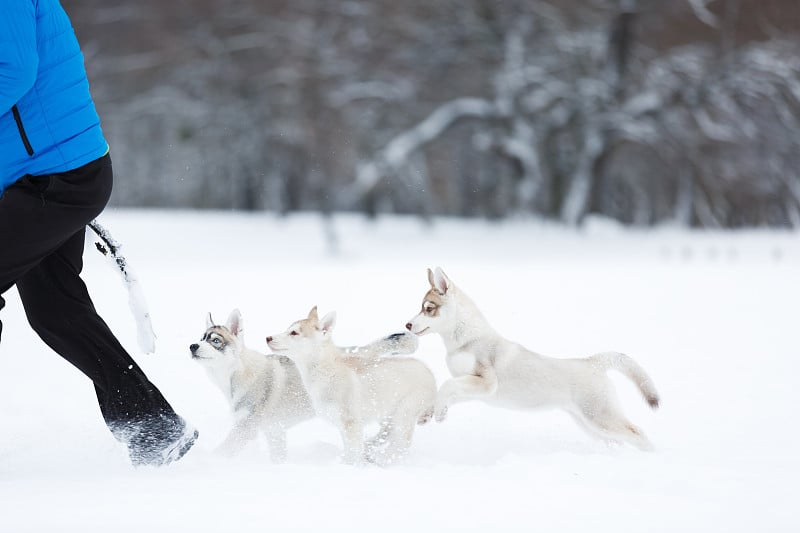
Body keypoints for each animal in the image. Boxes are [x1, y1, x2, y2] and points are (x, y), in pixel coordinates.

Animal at [189, 310, 314, 460]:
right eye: (201, 339)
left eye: (215, 340)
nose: (192, 346)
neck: (237, 374)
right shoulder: (275, 431)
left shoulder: (246, 427)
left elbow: (221, 453)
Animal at [266, 306, 434, 464]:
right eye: (287, 329)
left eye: (294, 333)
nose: (268, 337)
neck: (326, 373)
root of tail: (429, 371)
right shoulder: (344, 427)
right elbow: (349, 452)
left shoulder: (351, 424)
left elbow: (353, 455)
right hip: (388, 418)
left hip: (403, 417)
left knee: (400, 448)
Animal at [406, 268, 664, 450]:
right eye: (421, 308)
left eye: (428, 308)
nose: (407, 324)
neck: (464, 340)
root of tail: (593, 361)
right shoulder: (473, 388)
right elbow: (447, 391)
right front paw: (434, 413)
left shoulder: (487, 383)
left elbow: (447, 386)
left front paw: (438, 412)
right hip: (592, 425)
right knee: (621, 440)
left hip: (601, 418)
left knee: (638, 434)